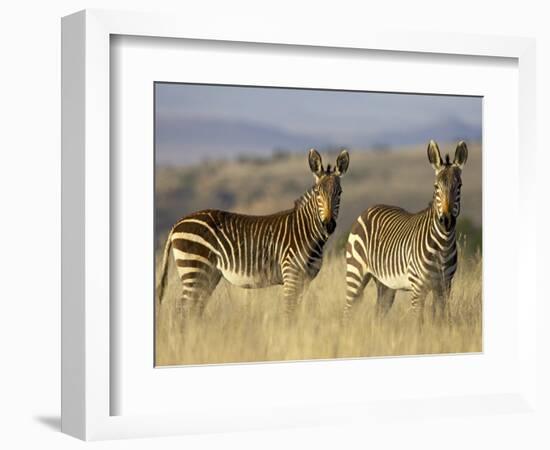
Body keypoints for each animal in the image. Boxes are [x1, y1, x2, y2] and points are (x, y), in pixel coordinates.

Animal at [157, 149, 352, 318]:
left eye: (340, 193)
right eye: (318, 192)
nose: (329, 225)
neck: (306, 232)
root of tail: (178, 223)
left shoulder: (305, 280)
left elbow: (295, 313)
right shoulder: (291, 275)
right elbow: (289, 313)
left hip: (208, 275)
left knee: (194, 310)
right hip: (194, 269)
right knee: (182, 311)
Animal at [344, 141, 470, 324]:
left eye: (459, 186)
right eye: (436, 187)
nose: (446, 220)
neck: (443, 245)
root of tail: (368, 210)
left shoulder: (444, 286)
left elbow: (441, 321)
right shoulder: (418, 288)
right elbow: (418, 322)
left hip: (385, 284)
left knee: (378, 314)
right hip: (355, 273)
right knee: (347, 311)